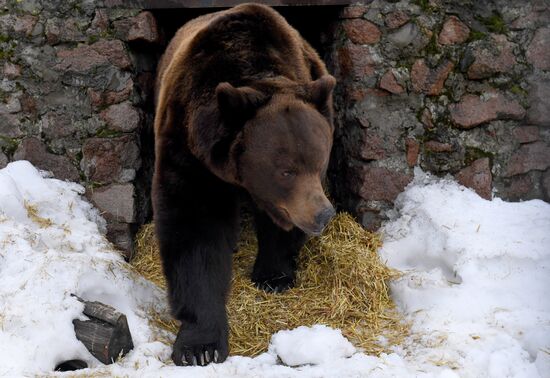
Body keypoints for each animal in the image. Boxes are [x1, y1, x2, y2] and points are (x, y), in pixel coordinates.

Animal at [153, 3, 338, 366]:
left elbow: (277, 228)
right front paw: (200, 346)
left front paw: (273, 275)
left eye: (319, 161)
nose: (322, 214)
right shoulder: (188, 149)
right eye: (286, 171)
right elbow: (195, 231)